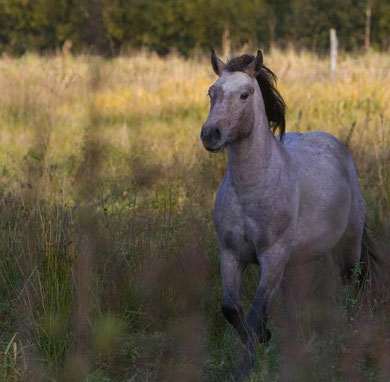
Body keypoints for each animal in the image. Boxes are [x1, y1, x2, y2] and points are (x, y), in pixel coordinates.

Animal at [200, 50, 374, 380]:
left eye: (244, 94)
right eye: (211, 92)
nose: (210, 135)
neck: (252, 189)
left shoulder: (273, 256)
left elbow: (255, 313)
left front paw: (248, 366)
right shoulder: (230, 255)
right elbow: (232, 310)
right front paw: (264, 342)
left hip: (348, 243)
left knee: (352, 284)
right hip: (295, 262)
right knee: (295, 304)